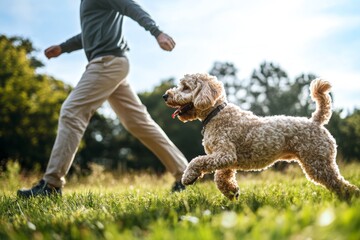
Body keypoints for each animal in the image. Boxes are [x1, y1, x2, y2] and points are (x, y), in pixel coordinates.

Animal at [164, 73, 360, 201]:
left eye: (185, 87)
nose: (165, 95)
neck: (215, 113)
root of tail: (316, 121)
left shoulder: (225, 154)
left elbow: (197, 161)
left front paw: (188, 177)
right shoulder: (225, 160)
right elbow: (220, 178)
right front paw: (232, 192)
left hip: (318, 163)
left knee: (339, 183)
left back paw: (351, 198)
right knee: (337, 184)